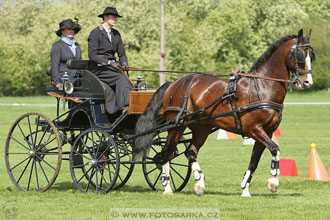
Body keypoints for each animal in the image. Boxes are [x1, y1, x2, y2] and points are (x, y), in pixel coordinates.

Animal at [133, 28, 314, 196]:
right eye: (300, 55)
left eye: (311, 56)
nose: (307, 82)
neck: (262, 87)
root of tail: (174, 83)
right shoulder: (254, 129)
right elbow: (275, 149)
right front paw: (273, 183)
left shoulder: (267, 132)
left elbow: (255, 160)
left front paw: (245, 188)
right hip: (177, 125)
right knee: (167, 152)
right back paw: (167, 187)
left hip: (202, 127)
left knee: (190, 151)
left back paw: (199, 183)